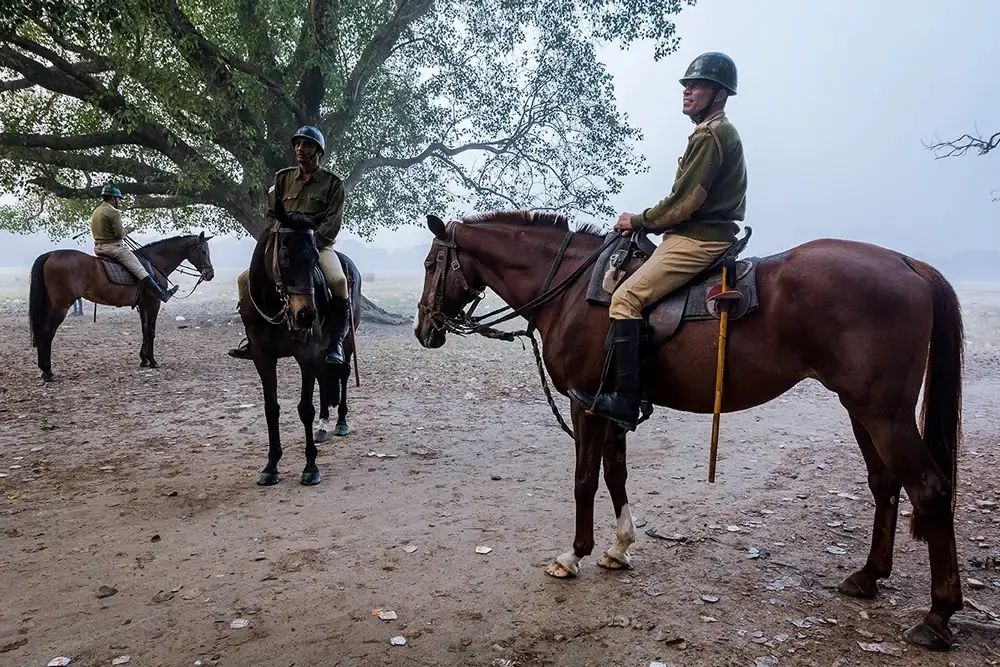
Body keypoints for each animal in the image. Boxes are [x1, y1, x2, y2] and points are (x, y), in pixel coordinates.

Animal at [31, 231, 217, 380]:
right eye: (203, 251)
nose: (210, 274)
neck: (154, 262)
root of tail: (50, 255)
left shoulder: (143, 305)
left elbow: (144, 330)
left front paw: (144, 359)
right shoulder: (153, 303)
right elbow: (151, 331)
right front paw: (152, 361)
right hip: (61, 307)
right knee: (47, 333)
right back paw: (48, 372)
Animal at [238, 202, 364, 486]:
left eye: (315, 257)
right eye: (284, 255)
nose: (306, 315)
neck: (275, 305)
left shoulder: (306, 354)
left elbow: (305, 408)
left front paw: (310, 467)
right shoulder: (263, 357)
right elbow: (271, 409)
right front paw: (271, 466)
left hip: (345, 343)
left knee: (342, 373)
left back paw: (340, 422)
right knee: (324, 377)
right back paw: (323, 425)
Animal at [412, 213, 960, 652]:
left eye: (430, 264)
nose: (423, 330)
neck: (571, 292)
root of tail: (909, 263)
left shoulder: (585, 403)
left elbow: (585, 480)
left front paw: (574, 554)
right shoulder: (612, 408)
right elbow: (616, 475)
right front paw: (620, 547)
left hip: (883, 414)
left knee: (930, 489)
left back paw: (938, 616)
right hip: (861, 409)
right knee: (886, 485)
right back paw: (868, 576)